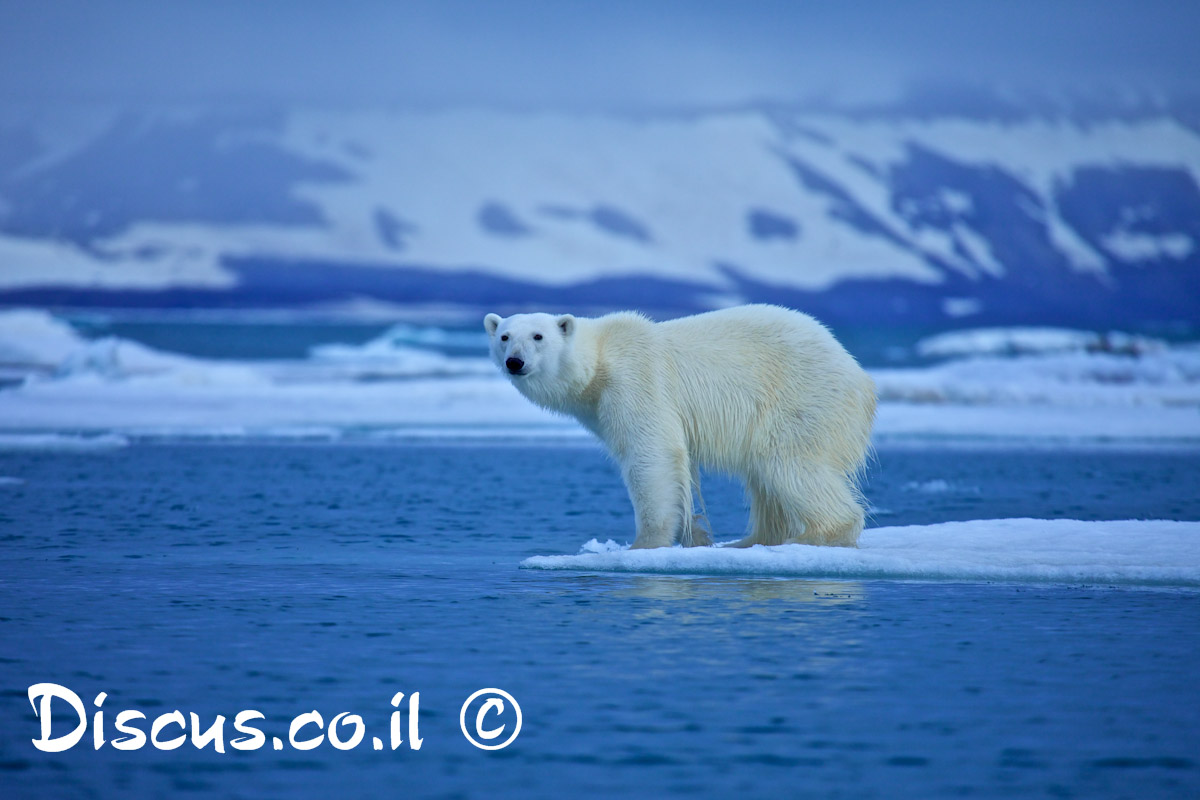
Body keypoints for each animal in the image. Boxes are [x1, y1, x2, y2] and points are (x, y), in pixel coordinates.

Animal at [482, 307, 878, 551]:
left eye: (538, 336)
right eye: (504, 336)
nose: (515, 361)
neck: (598, 363)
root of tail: (862, 377)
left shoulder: (635, 382)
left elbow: (652, 454)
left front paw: (644, 543)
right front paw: (697, 536)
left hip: (801, 399)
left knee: (790, 465)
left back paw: (815, 535)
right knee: (765, 479)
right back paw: (751, 540)